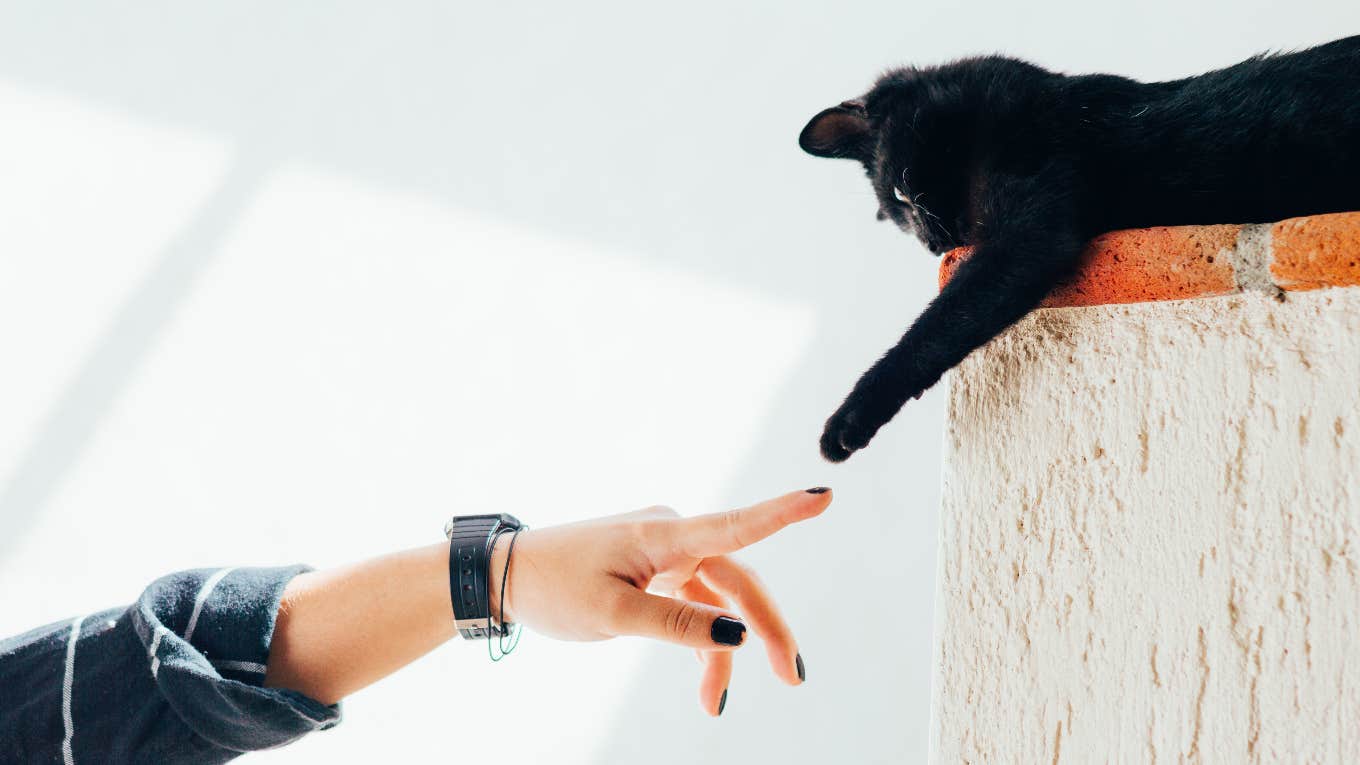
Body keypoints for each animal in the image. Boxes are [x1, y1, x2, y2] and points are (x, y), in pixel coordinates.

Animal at [794, 35, 1360, 457]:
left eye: (903, 195)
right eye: (897, 216)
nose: (936, 245)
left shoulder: (1027, 233)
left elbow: (936, 327)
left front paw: (848, 419)